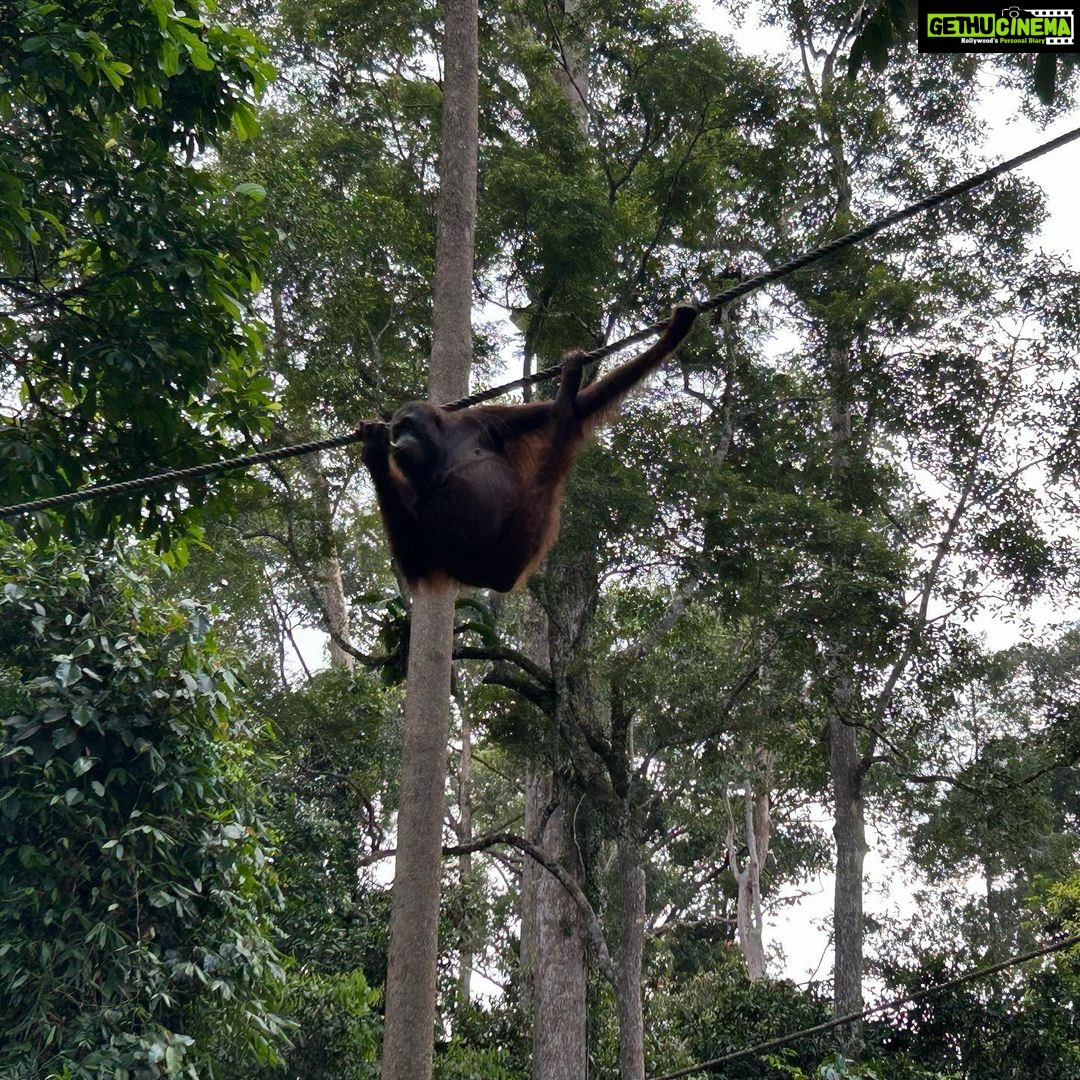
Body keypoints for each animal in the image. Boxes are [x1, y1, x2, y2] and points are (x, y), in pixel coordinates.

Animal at [361, 303, 698, 591]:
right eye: (397, 429)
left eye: (407, 425)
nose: (397, 441)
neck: (443, 447)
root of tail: (493, 582)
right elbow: (418, 553)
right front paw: (373, 453)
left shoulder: (481, 419)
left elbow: (581, 404)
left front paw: (672, 336)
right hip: (514, 552)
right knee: (555, 455)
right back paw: (567, 392)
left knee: (563, 423)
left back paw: (568, 387)